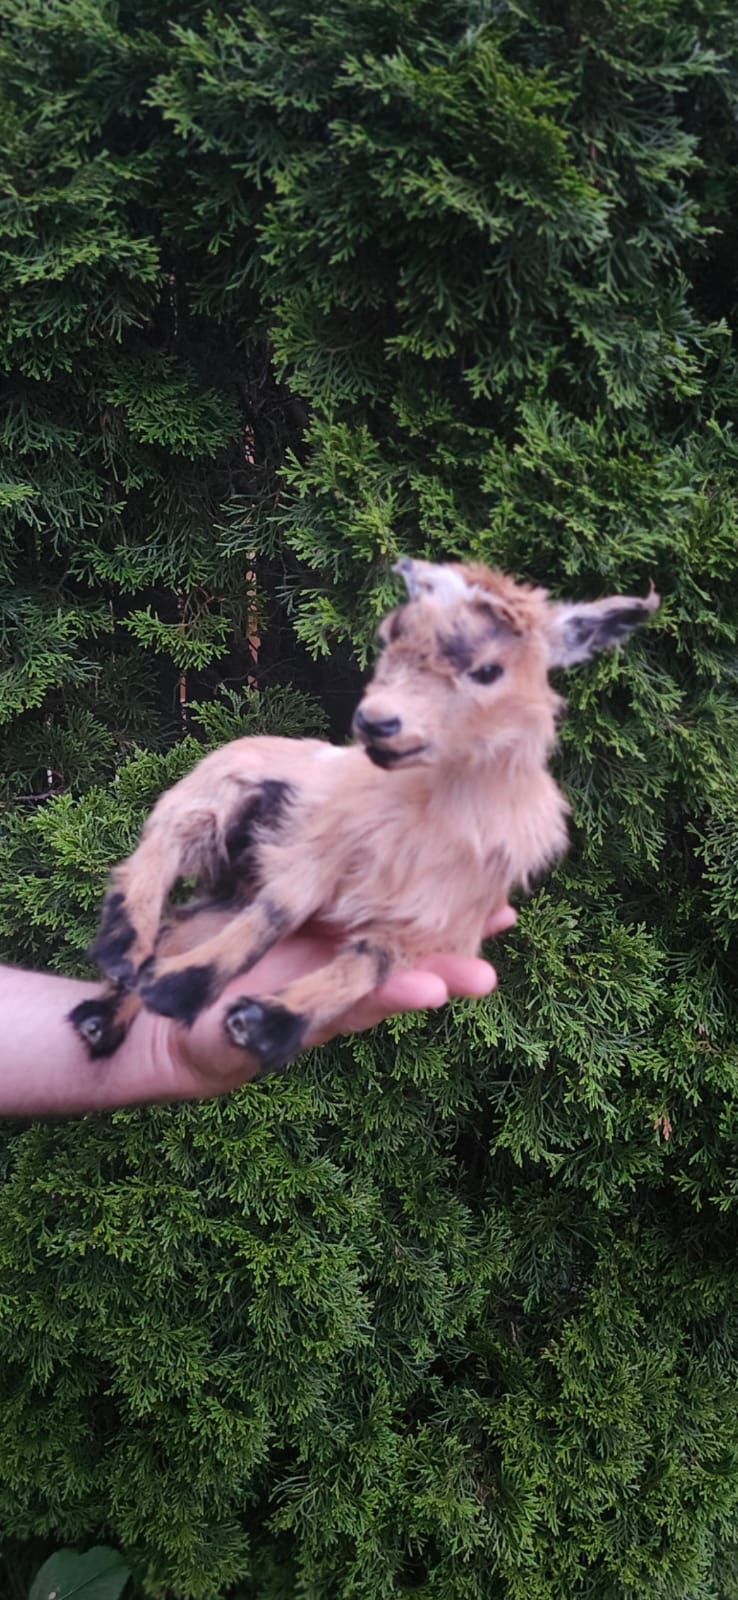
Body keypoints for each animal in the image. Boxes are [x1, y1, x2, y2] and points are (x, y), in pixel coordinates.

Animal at [69, 559, 659, 1075]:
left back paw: (106, 1016)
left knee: (177, 924)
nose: (376, 722)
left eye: (488, 670)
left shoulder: (433, 920)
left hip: (225, 883)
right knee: (159, 848)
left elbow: (364, 968)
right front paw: (183, 988)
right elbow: (276, 915)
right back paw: (124, 946)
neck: (434, 808)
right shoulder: (317, 849)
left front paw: (263, 1022)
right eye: (389, 638)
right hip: (213, 794)